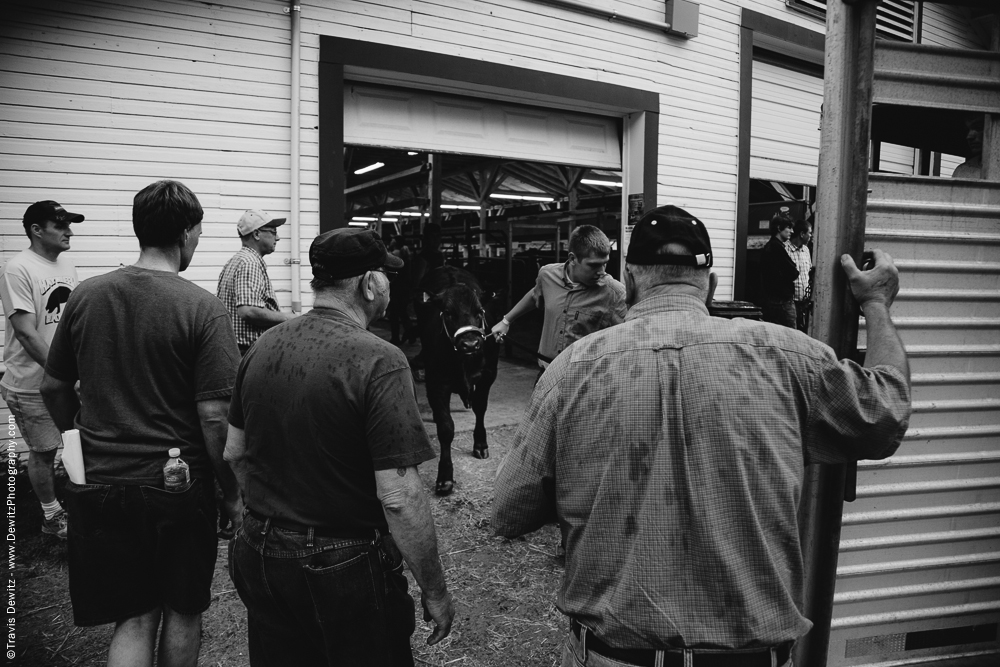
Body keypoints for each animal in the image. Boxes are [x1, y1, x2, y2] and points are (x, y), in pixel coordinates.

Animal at [416, 266, 498, 496]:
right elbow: (446, 428)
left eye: (479, 312)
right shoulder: (435, 383)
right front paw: (444, 477)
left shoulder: (488, 375)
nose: (470, 343)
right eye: (448, 313)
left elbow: (480, 408)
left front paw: (480, 444)